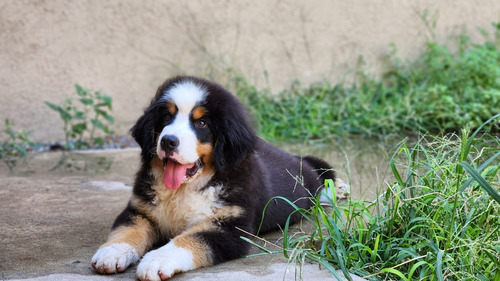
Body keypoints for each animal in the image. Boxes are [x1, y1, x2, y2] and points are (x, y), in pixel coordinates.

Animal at [92, 75, 338, 278]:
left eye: (201, 123)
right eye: (166, 118)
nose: (168, 141)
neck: (182, 189)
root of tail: (297, 159)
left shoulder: (229, 227)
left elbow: (189, 239)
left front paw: (156, 260)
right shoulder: (141, 210)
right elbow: (126, 230)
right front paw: (112, 252)